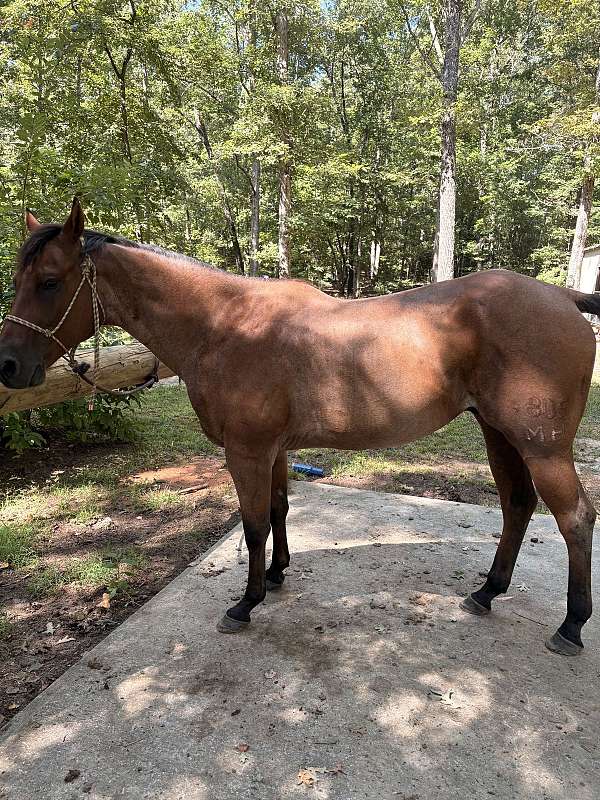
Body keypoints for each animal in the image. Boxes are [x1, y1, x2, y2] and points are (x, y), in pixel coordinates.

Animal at [0, 198, 597, 656]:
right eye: (20, 279)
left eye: (50, 282)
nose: (7, 365)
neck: (223, 326)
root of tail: (563, 297)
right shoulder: (275, 449)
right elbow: (279, 510)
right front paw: (277, 575)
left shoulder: (246, 452)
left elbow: (253, 524)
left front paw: (246, 603)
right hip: (500, 434)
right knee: (518, 505)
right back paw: (487, 592)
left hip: (542, 447)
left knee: (574, 518)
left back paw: (570, 627)